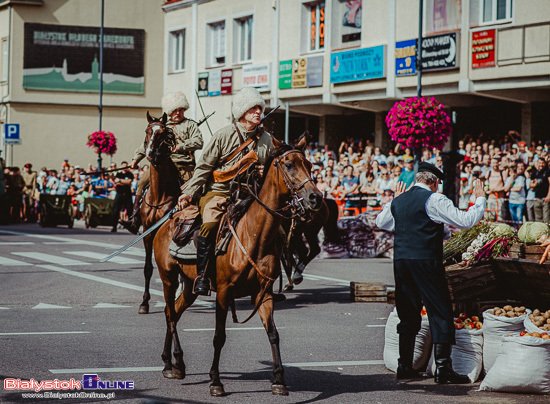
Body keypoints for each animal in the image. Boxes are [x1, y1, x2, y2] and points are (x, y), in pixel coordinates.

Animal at [152, 134, 324, 396]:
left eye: (310, 164)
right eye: (288, 164)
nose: (315, 198)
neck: (254, 236)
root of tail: (166, 222)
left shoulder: (264, 294)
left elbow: (273, 334)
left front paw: (279, 379)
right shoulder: (224, 292)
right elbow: (219, 337)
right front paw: (215, 381)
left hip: (190, 284)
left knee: (174, 312)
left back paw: (171, 363)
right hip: (168, 279)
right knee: (171, 314)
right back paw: (175, 363)